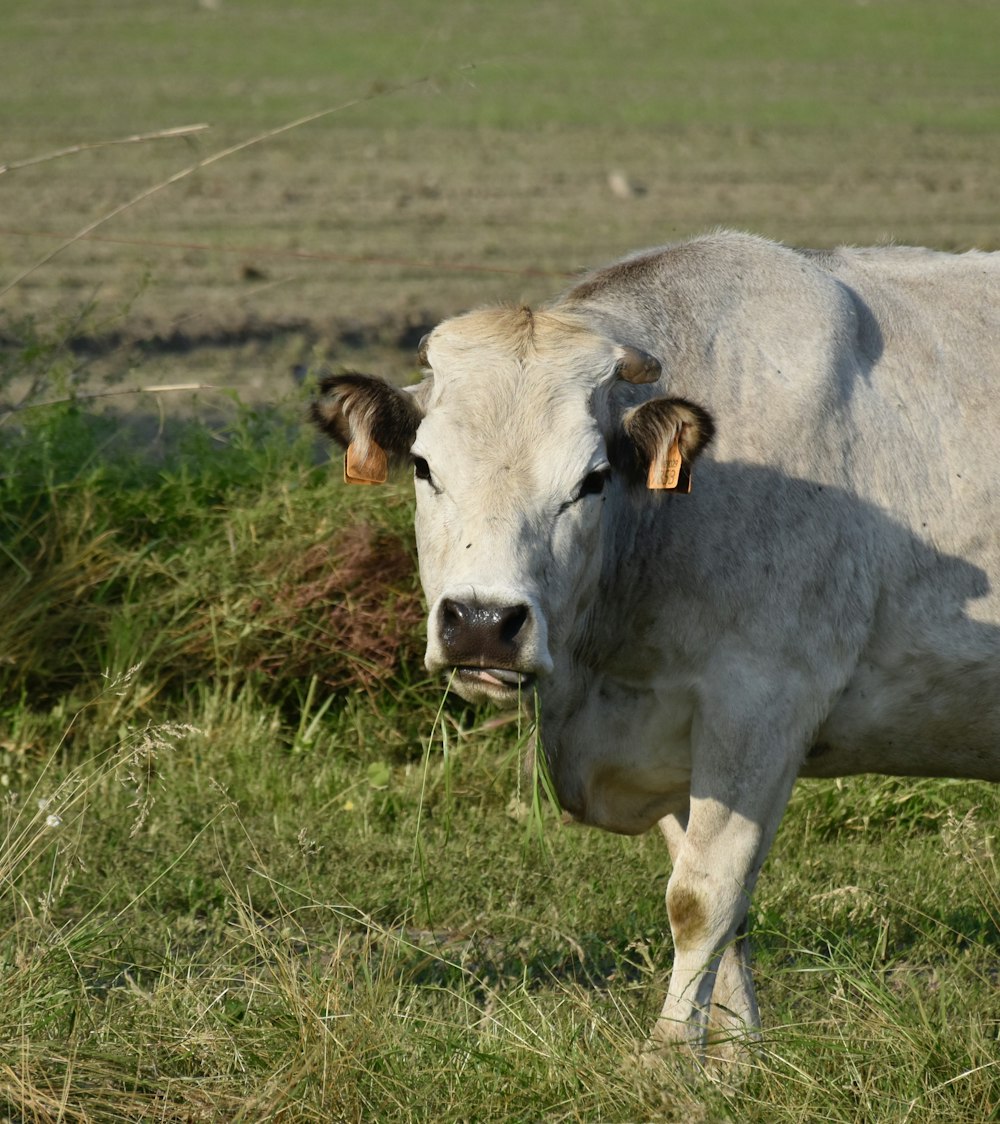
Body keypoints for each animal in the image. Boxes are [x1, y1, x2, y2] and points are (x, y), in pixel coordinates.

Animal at [312, 232, 997, 1056]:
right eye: (423, 465)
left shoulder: (763, 702)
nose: (481, 622)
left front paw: (669, 1056)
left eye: (593, 478)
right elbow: (727, 908)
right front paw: (733, 1055)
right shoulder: (671, 729)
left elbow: (703, 897)